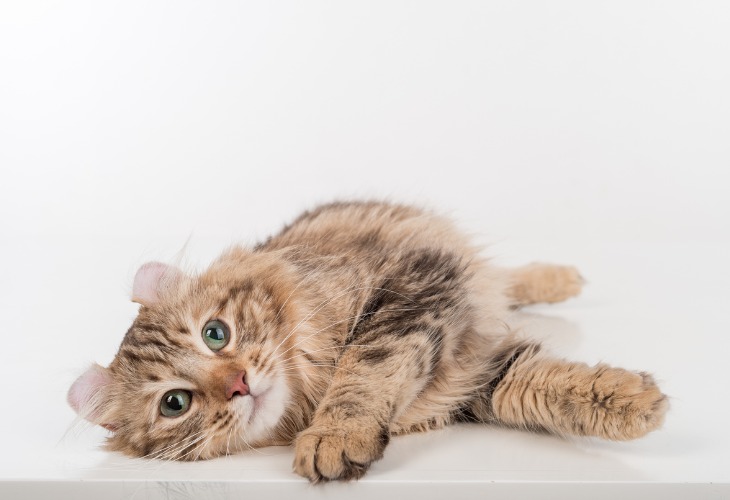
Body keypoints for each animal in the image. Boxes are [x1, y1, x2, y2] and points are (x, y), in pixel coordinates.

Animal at [67, 201, 664, 482]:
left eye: (216, 334)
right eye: (175, 404)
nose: (238, 384)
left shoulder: (418, 286)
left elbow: (365, 367)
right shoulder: (473, 375)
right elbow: (535, 388)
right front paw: (628, 403)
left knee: (505, 277)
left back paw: (560, 278)